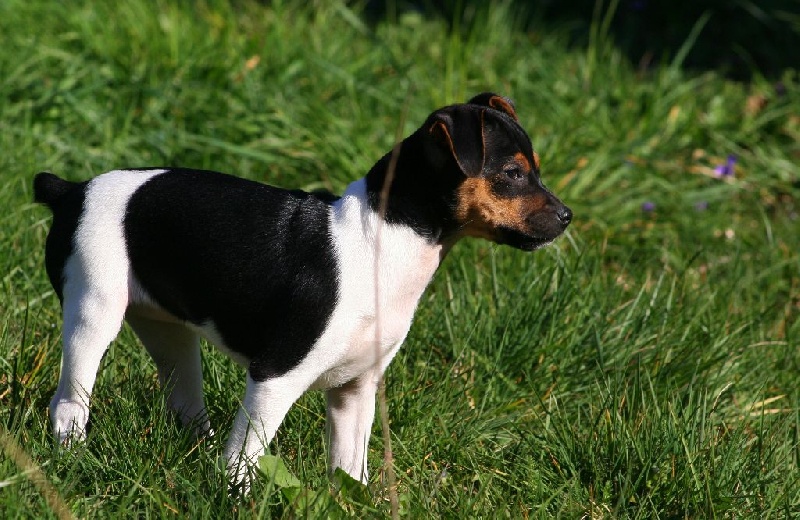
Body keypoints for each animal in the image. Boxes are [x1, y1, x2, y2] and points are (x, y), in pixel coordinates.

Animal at [34, 93, 571, 489]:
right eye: (513, 174)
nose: (567, 216)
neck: (383, 240)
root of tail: (71, 190)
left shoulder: (356, 390)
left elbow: (350, 469)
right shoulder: (275, 377)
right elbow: (244, 458)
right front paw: (235, 499)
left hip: (169, 334)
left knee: (184, 401)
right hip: (93, 313)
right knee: (69, 402)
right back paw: (72, 459)